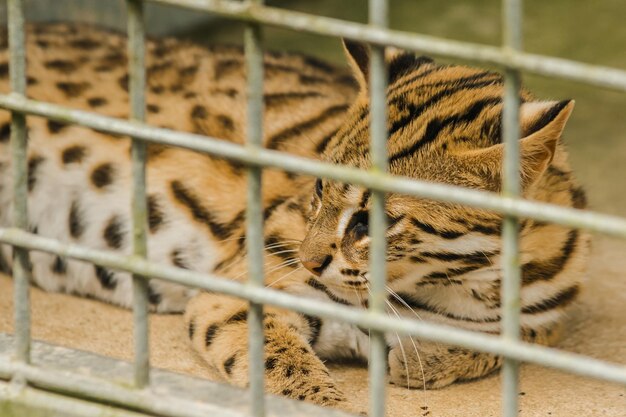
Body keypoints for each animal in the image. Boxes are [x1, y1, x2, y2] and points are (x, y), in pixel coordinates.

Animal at [0, 23, 584, 406]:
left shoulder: (548, 316)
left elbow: (512, 339)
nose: (305, 260)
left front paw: (428, 355)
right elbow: (284, 370)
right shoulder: (238, 291)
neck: (461, 282)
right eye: (318, 189)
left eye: (373, 221)